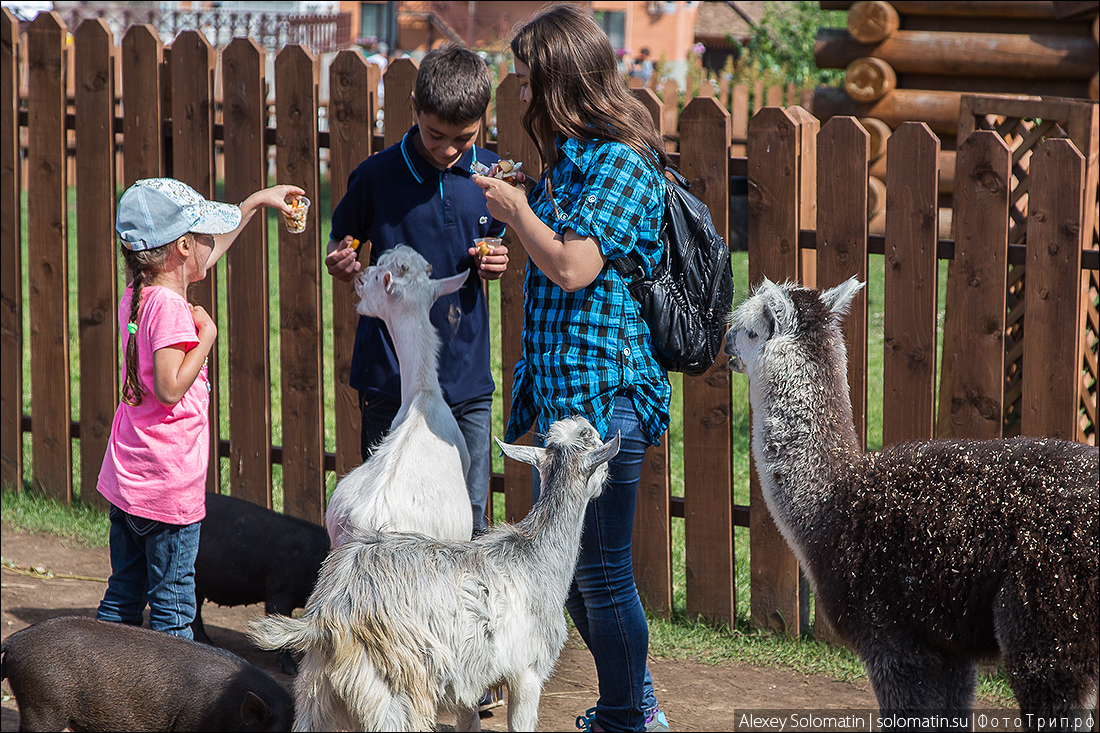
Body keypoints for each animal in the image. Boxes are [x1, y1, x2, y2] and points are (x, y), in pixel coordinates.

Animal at [251, 416, 624, 730]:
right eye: (595, 441)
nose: (609, 478)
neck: (536, 555)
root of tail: (329, 613)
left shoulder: (469, 681)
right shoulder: (528, 673)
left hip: (317, 690)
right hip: (394, 689)